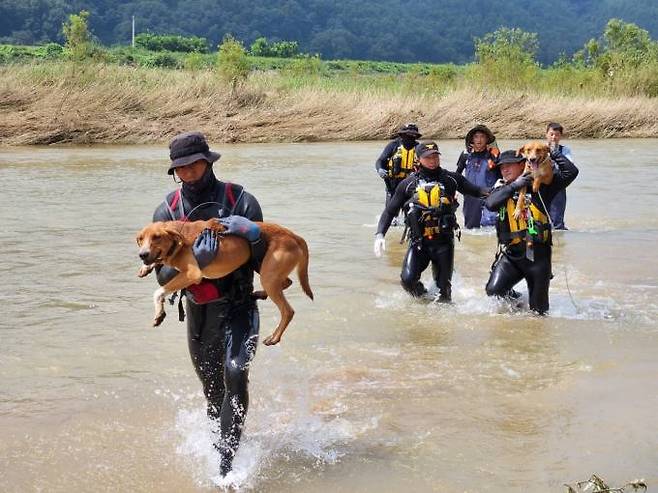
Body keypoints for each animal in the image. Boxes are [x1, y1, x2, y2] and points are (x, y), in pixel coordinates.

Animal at [135, 219, 312, 346]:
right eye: (140, 239)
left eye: (157, 237)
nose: (142, 255)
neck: (178, 239)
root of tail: (294, 236)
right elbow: (158, 266)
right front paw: (145, 267)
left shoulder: (192, 274)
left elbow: (158, 292)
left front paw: (159, 313)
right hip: (264, 268)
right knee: (287, 282)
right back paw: (261, 294)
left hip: (268, 275)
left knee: (288, 310)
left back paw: (274, 337)